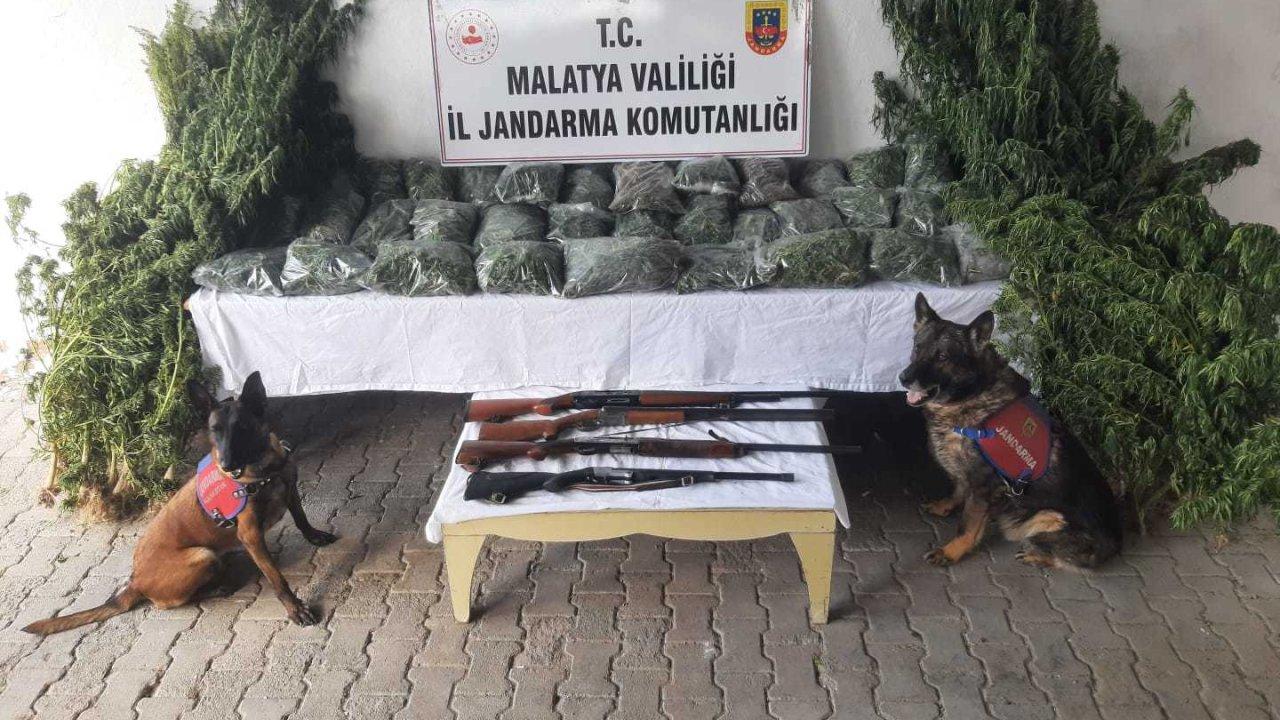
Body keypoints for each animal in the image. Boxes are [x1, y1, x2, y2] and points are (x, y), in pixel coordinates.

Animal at [23, 372, 335, 635]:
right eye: (214, 430)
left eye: (243, 427)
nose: (226, 464)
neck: (263, 470)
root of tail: (135, 582)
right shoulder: (249, 534)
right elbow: (276, 579)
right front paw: (295, 608)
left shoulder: (290, 491)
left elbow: (301, 518)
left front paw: (315, 535)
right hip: (202, 555)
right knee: (170, 602)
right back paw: (221, 585)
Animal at [899, 293, 1122, 569]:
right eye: (918, 348)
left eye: (942, 357)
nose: (903, 378)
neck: (974, 395)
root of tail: (1116, 544)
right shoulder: (966, 478)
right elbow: (958, 489)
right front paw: (946, 505)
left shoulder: (982, 487)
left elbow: (967, 526)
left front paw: (950, 551)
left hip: (1046, 518)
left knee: (1063, 558)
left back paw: (1035, 555)